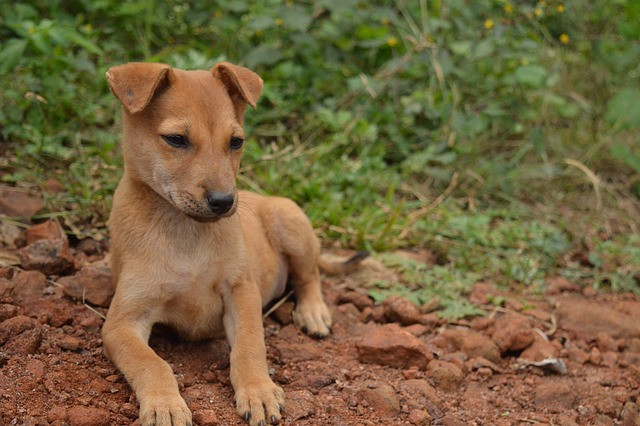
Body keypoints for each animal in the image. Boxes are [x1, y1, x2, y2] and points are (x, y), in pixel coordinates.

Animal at [101, 62, 344, 426]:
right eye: (176, 139)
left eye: (236, 142)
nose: (224, 201)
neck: (188, 233)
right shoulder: (122, 322)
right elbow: (151, 362)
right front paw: (164, 404)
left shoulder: (241, 291)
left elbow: (249, 346)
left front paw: (258, 391)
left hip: (290, 221)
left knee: (309, 275)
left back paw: (313, 312)